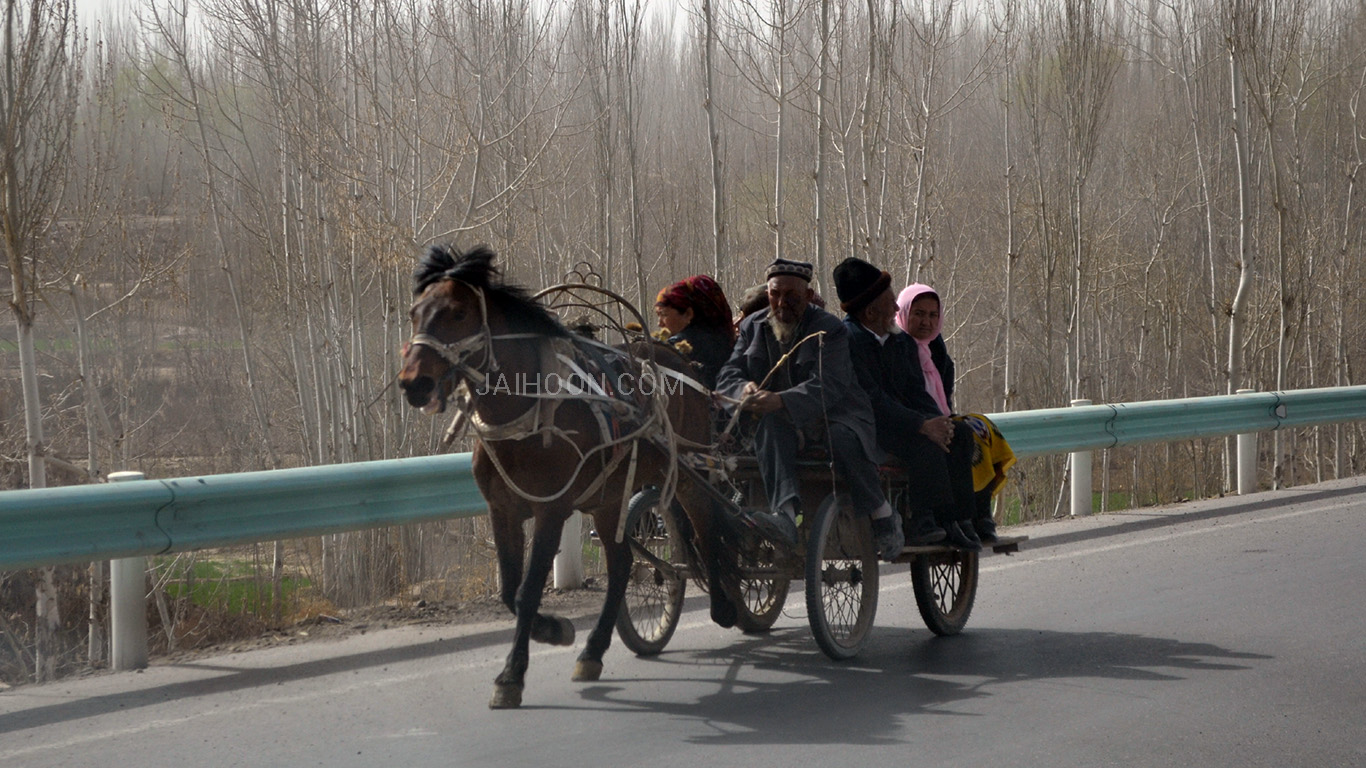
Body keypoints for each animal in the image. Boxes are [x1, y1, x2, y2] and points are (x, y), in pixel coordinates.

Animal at [396, 243, 737, 705]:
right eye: (415, 312)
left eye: (457, 313)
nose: (414, 382)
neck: (526, 415)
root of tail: (684, 362)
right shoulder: (502, 510)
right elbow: (509, 590)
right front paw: (554, 630)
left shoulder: (552, 510)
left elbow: (527, 590)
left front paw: (511, 674)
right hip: (610, 496)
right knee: (622, 564)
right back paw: (593, 650)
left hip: (688, 468)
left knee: (706, 529)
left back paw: (724, 605)